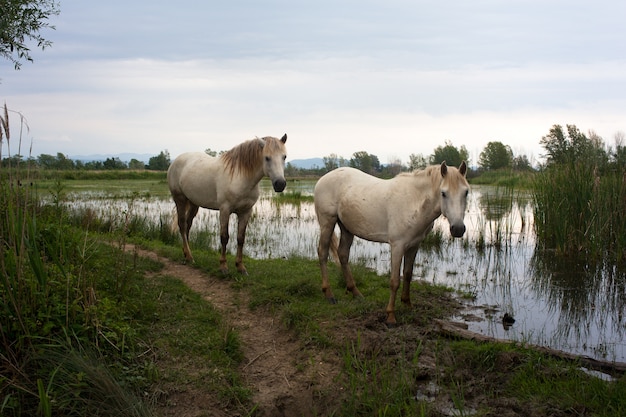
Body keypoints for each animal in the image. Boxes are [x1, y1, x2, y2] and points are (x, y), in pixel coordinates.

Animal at [169, 133, 288, 272]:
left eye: (284, 157)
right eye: (267, 158)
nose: (280, 184)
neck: (240, 177)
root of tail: (176, 161)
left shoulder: (246, 212)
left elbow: (241, 238)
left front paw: (240, 266)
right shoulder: (225, 210)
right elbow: (224, 237)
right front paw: (223, 266)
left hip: (193, 203)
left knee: (188, 225)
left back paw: (186, 254)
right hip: (180, 200)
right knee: (182, 225)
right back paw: (189, 256)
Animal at [314, 161, 466, 326]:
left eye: (466, 192)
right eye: (443, 193)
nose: (458, 229)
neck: (413, 201)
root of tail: (323, 179)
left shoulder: (414, 245)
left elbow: (408, 274)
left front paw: (407, 304)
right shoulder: (397, 246)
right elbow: (394, 281)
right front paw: (391, 316)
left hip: (346, 228)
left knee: (342, 255)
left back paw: (356, 292)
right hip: (327, 222)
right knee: (323, 253)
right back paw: (329, 294)